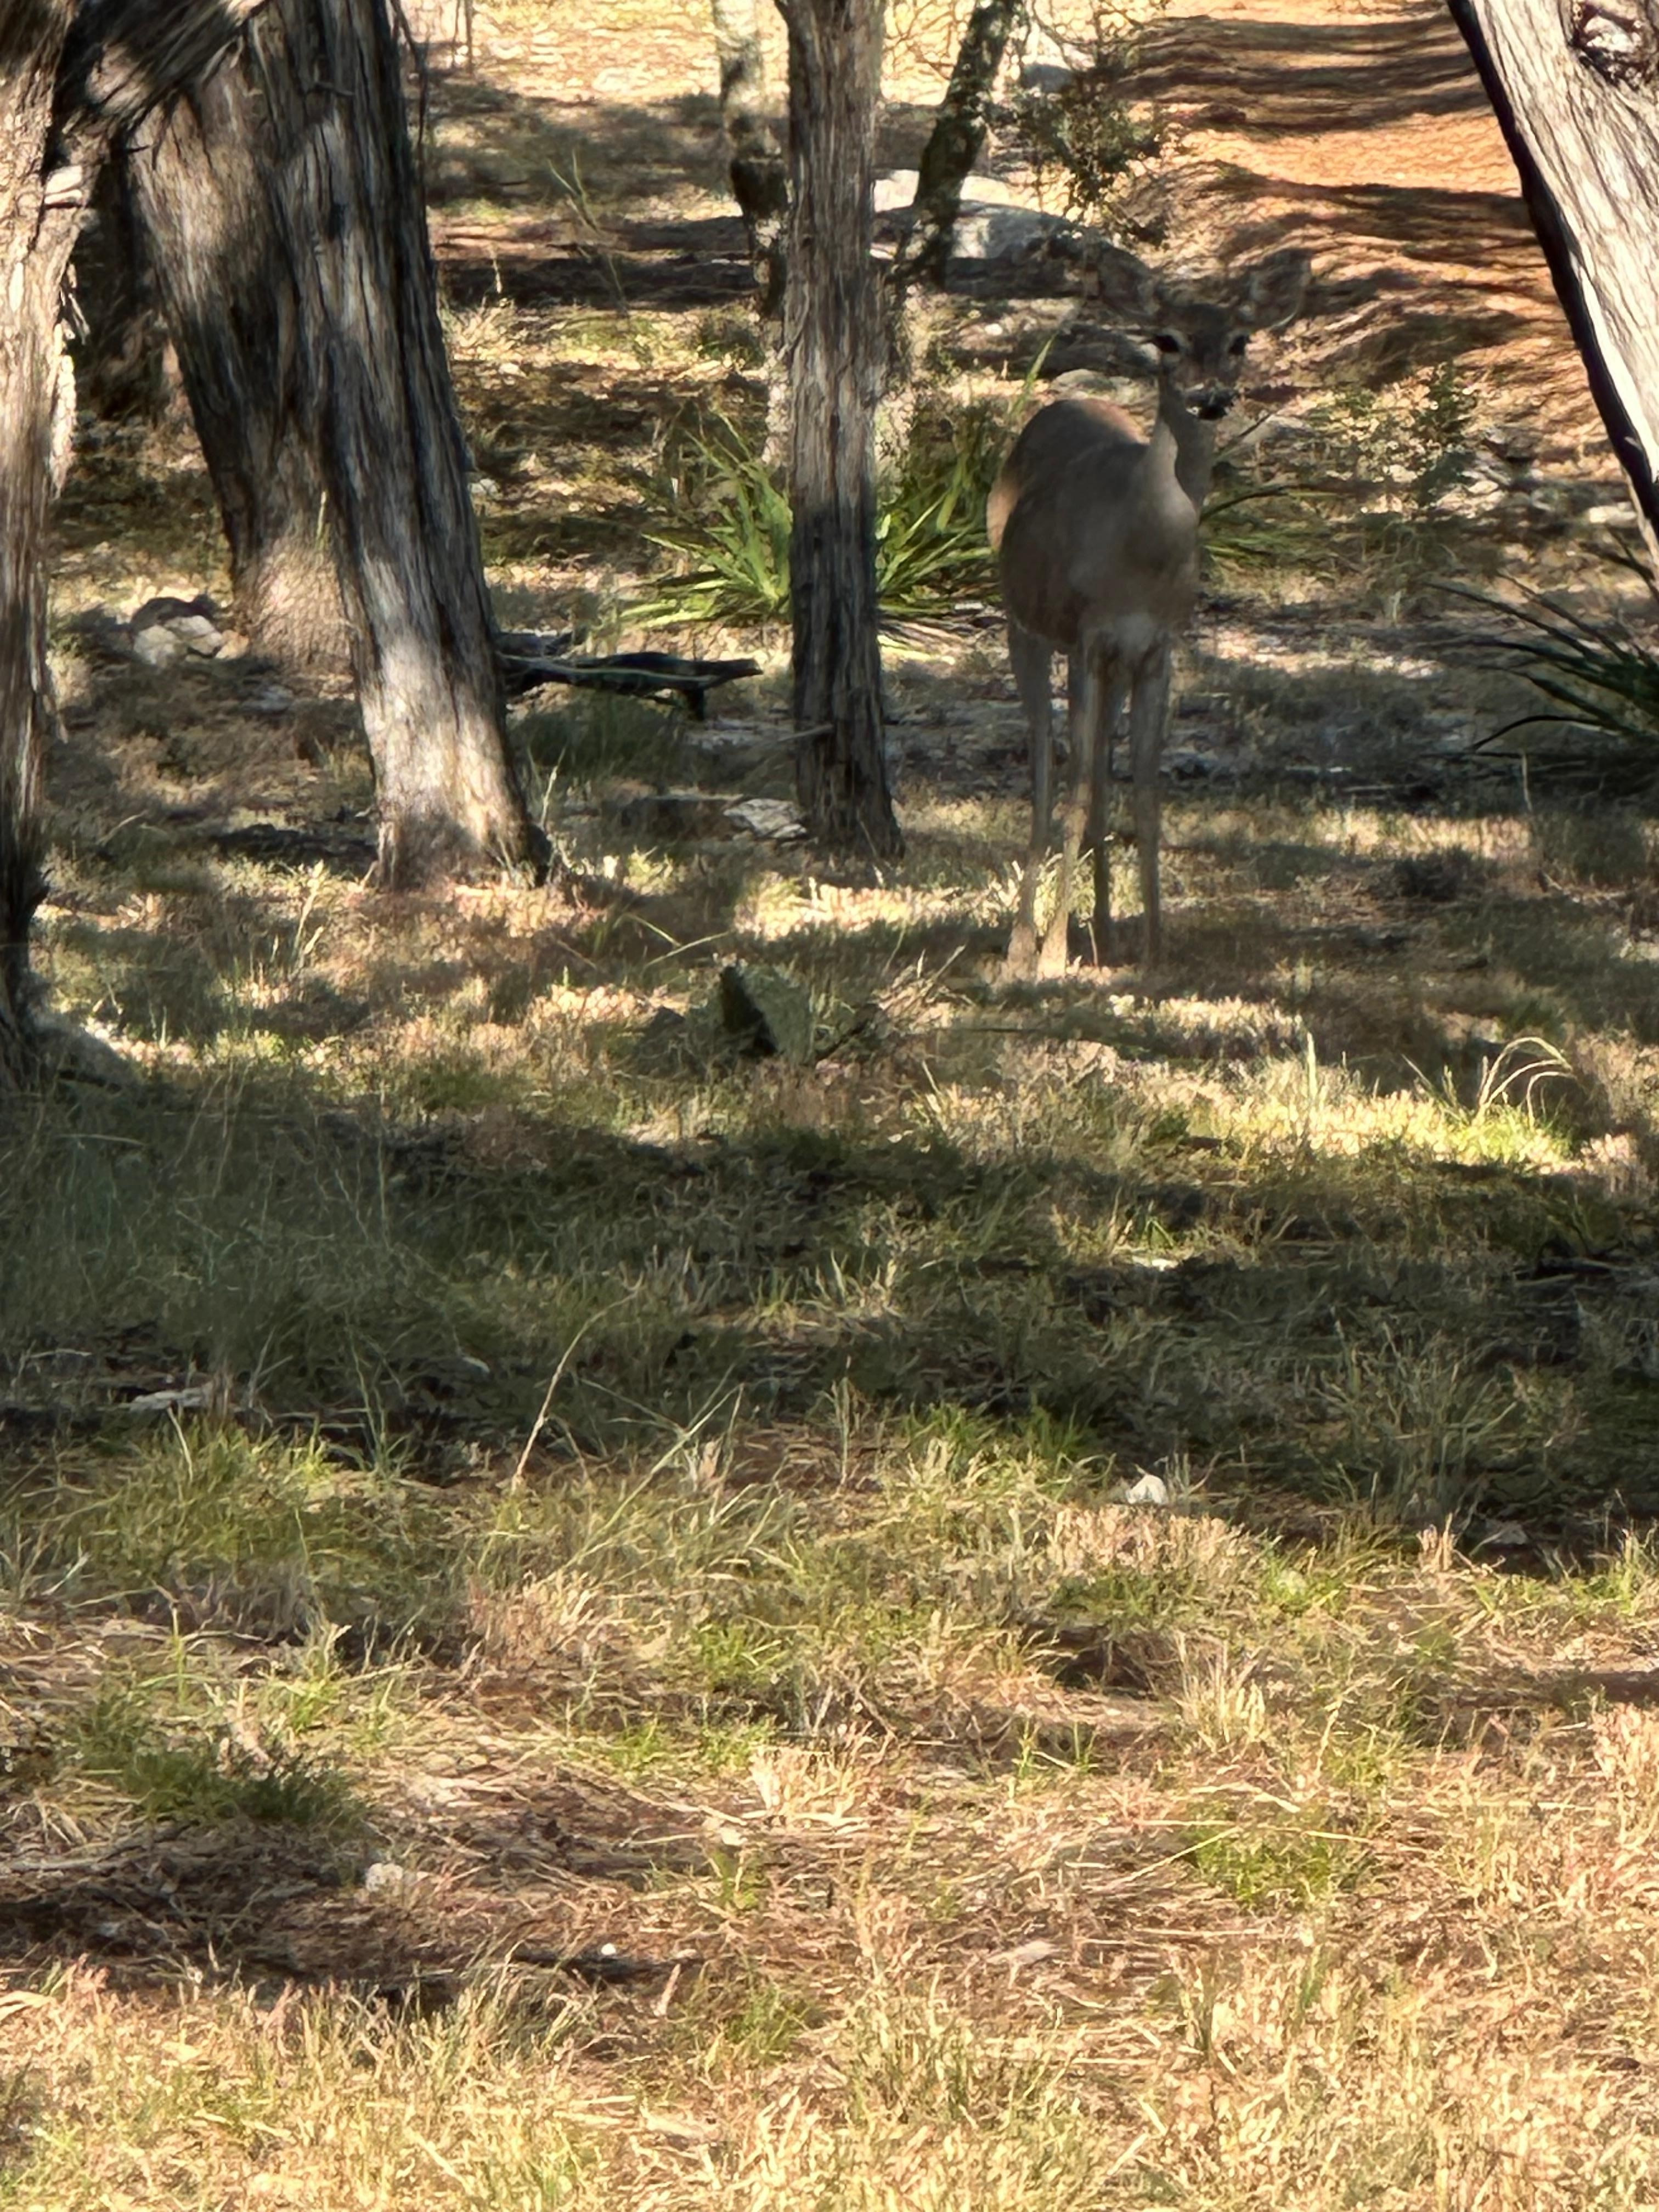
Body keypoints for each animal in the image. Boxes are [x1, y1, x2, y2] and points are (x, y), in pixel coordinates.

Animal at [988, 244, 1310, 976]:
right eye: (1167, 339)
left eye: (1240, 340)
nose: (1210, 396)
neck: (1143, 547)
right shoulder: (1089, 634)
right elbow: (1078, 789)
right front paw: (1051, 955)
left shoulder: (1158, 645)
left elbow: (1144, 790)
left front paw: (1155, 949)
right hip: (1026, 621)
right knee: (1047, 769)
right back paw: (1023, 943)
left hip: (1109, 663)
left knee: (1099, 771)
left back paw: (1103, 933)